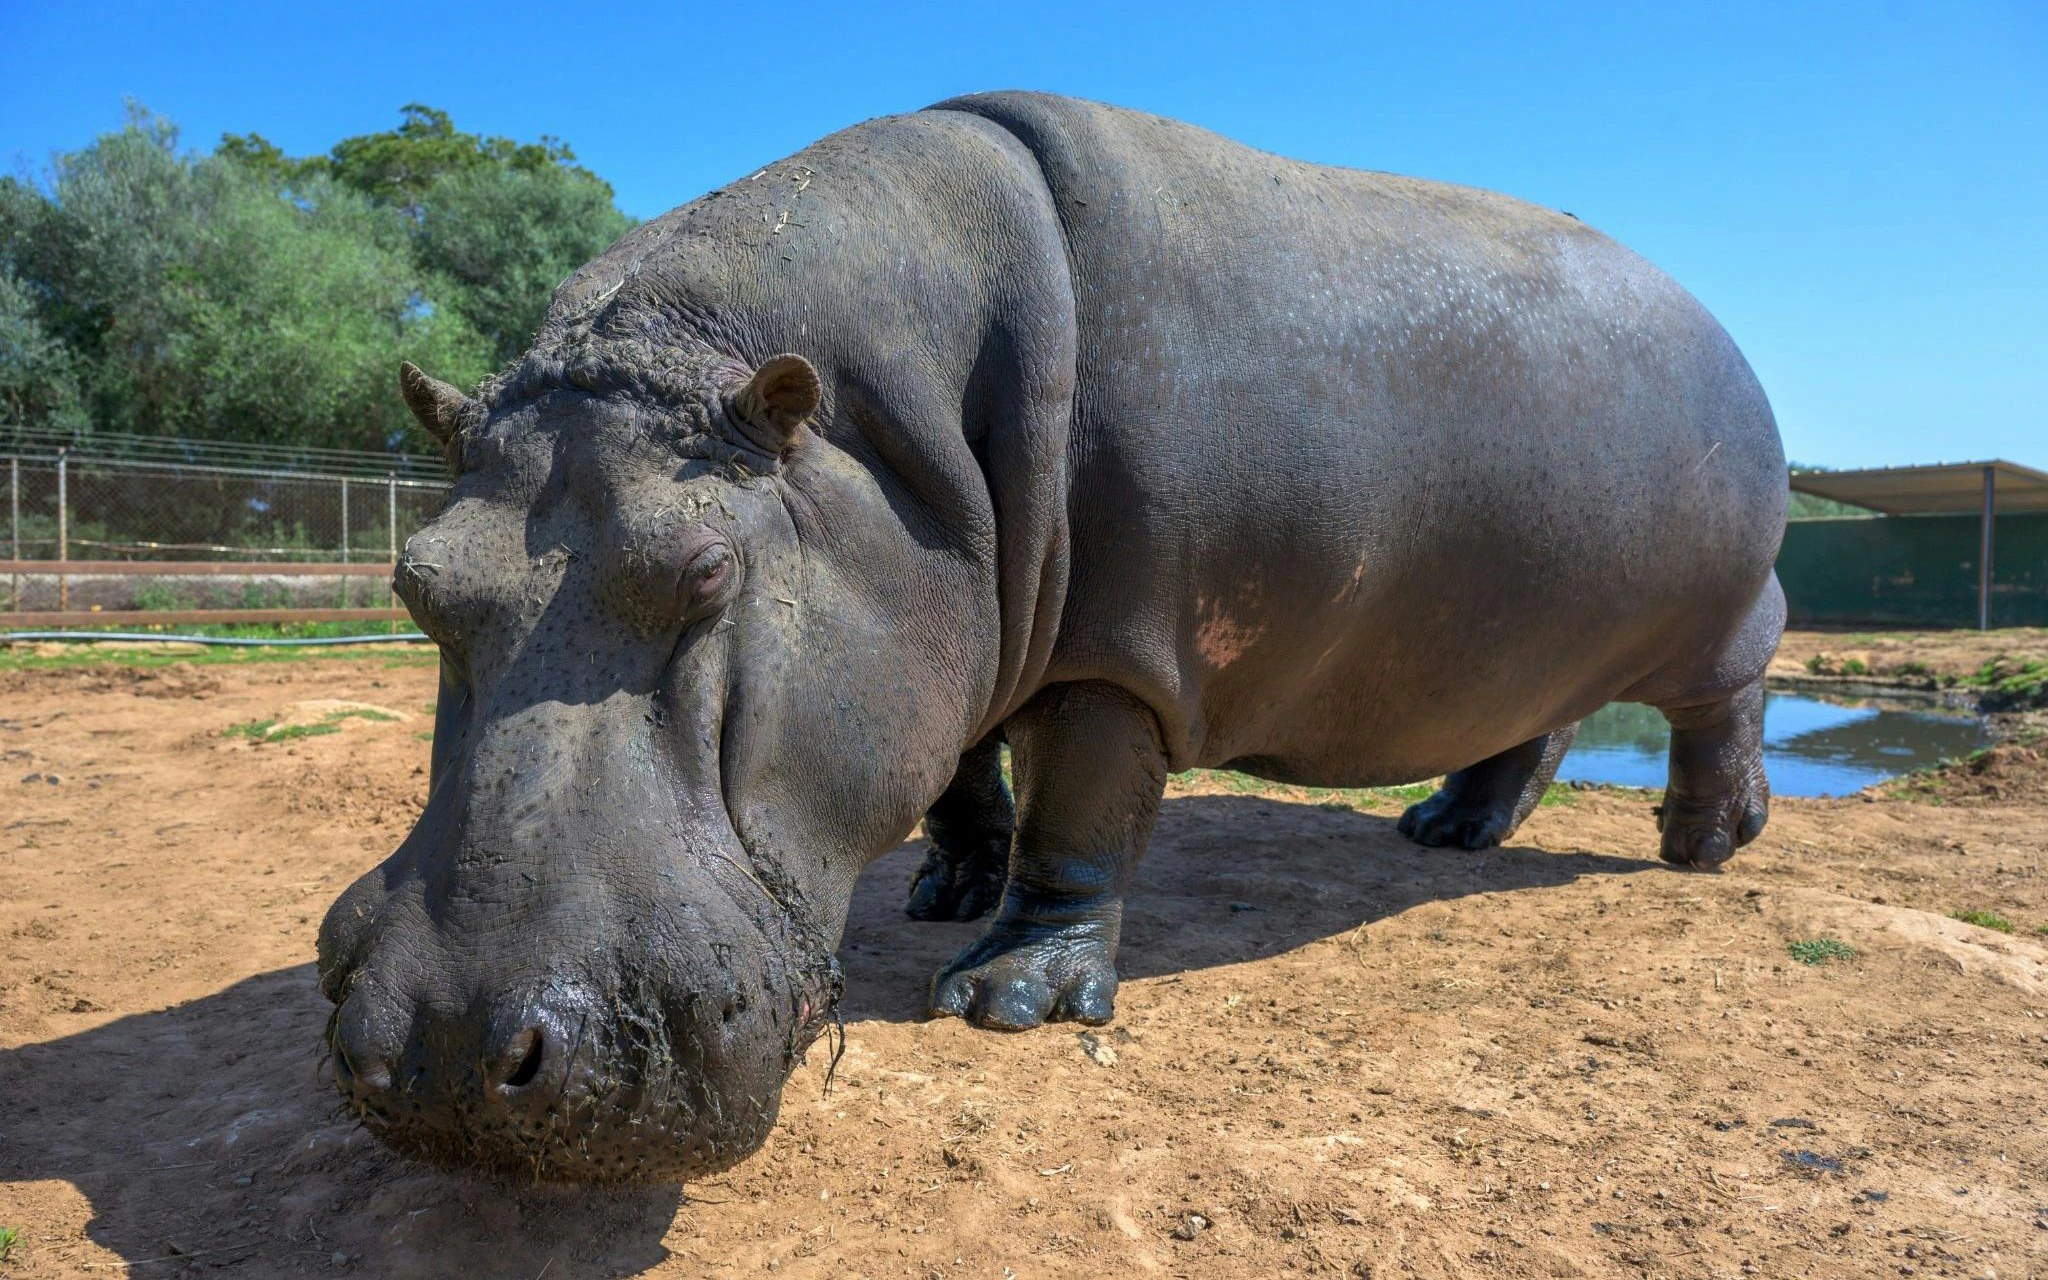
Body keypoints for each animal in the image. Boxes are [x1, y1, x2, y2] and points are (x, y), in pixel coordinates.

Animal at [319, 91, 1785, 1182]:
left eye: (707, 570)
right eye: (416, 580)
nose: (447, 1052)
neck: (866, 443)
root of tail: (1721, 328)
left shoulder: (1110, 654)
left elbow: (1075, 813)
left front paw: (1001, 1002)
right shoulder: (951, 620)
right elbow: (962, 773)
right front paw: (944, 891)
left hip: (1717, 615)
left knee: (1727, 695)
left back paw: (1702, 846)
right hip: (1530, 626)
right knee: (1530, 719)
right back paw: (1447, 832)